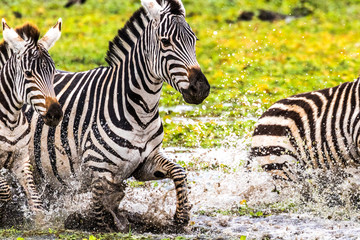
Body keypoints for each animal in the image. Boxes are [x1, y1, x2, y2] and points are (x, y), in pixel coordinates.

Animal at [0, 19, 62, 216]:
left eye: (53, 72)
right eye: (28, 74)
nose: (55, 114)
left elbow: (36, 201)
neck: (10, 121)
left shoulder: (21, 158)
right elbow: (5, 192)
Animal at [23, 0, 210, 232]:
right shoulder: (97, 169)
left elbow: (179, 171)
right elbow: (98, 204)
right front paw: (91, 221)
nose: (201, 89)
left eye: (194, 40)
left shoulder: (145, 163)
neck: (142, 112)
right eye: (165, 42)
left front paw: (180, 218)